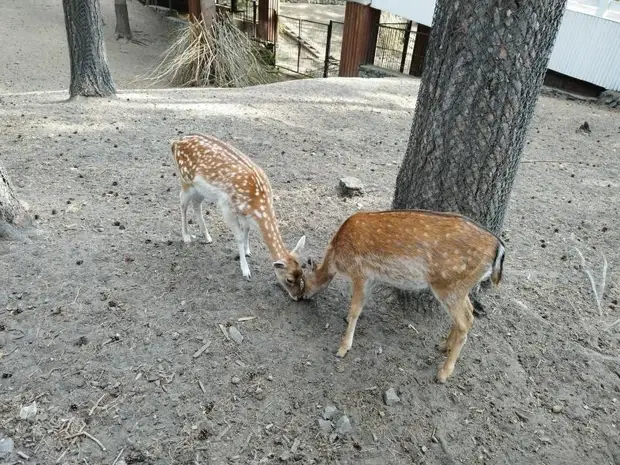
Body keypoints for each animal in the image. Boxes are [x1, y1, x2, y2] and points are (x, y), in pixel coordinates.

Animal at [171, 133, 306, 298]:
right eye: (289, 279)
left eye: (302, 272)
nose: (298, 296)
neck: (257, 205)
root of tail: (175, 142)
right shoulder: (226, 207)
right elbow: (239, 237)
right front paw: (245, 270)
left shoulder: (243, 212)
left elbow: (246, 229)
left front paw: (248, 251)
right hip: (185, 180)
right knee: (182, 203)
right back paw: (186, 237)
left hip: (200, 189)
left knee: (197, 204)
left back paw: (207, 237)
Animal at [298, 209, 506, 380]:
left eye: (303, 280)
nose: (302, 297)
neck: (336, 257)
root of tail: (499, 248)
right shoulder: (372, 277)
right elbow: (362, 304)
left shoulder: (360, 273)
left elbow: (355, 308)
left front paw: (342, 348)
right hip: (461, 287)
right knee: (467, 313)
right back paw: (443, 345)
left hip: (449, 285)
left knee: (466, 321)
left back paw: (443, 373)